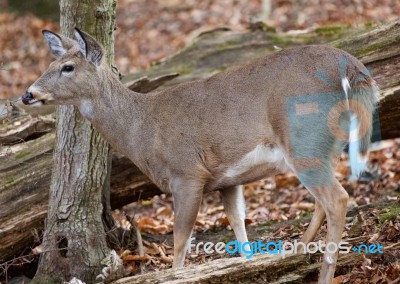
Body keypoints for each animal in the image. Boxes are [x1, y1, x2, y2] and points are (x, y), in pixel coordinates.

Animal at [22, 28, 378, 282]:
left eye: (67, 67)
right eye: (50, 64)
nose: (27, 94)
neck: (142, 129)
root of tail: (351, 66)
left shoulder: (187, 173)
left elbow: (180, 242)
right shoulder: (227, 180)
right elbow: (239, 227)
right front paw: (250, 267)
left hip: (303, 138)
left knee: (337, 199)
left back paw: (323, 273)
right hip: (325, 146)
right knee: (324, 200)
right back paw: (297, 251)